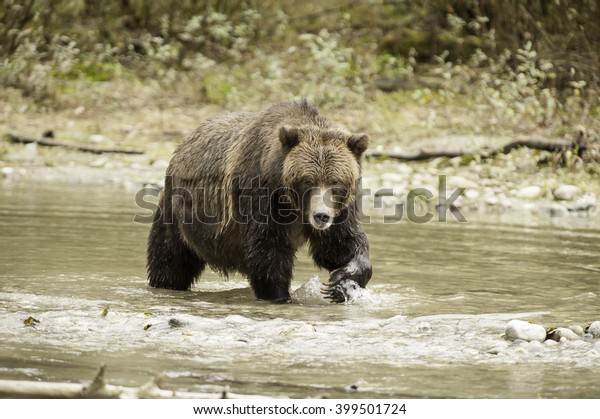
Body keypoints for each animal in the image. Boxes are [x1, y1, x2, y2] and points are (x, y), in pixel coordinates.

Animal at [146, 100, 370, 304]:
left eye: (335, 182)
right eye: (308, 180)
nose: (321, 215)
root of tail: (182, 144)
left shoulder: (339, 210)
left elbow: (340, 244)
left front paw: (340, 283)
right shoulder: (260, 196)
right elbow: (268, 254)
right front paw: (279, 296)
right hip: (178, 214)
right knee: (170, 260)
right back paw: (165, 284)